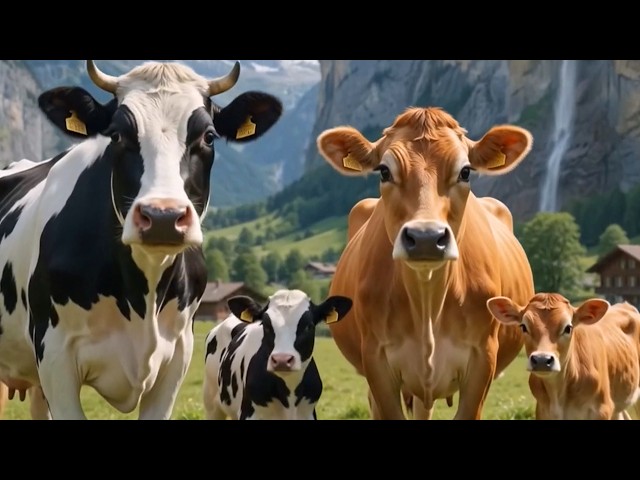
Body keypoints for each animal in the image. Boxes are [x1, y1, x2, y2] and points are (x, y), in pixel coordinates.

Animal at [0, 60, 282, 419]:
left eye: (208, 136)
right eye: (117, 134)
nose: (162, 217)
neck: (140, 298)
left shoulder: (178, 355)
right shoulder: (54, 356)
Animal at [203, 289, 353, 420]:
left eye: (308, 326)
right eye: (266, 325)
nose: (282, 360)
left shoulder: (308, 414)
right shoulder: (249, 413)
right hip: (211, 404)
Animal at [316, 106, 535, 420]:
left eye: (465, 171)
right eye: (384, 171)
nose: (426, 237)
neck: (427, 300)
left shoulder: (483, 359)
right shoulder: (376, 360)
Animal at [487, 293, 640, 420]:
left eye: (568, 328)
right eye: (523, 326)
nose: (542, 360)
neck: (559, 395)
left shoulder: (602, 410)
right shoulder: (542, 411)